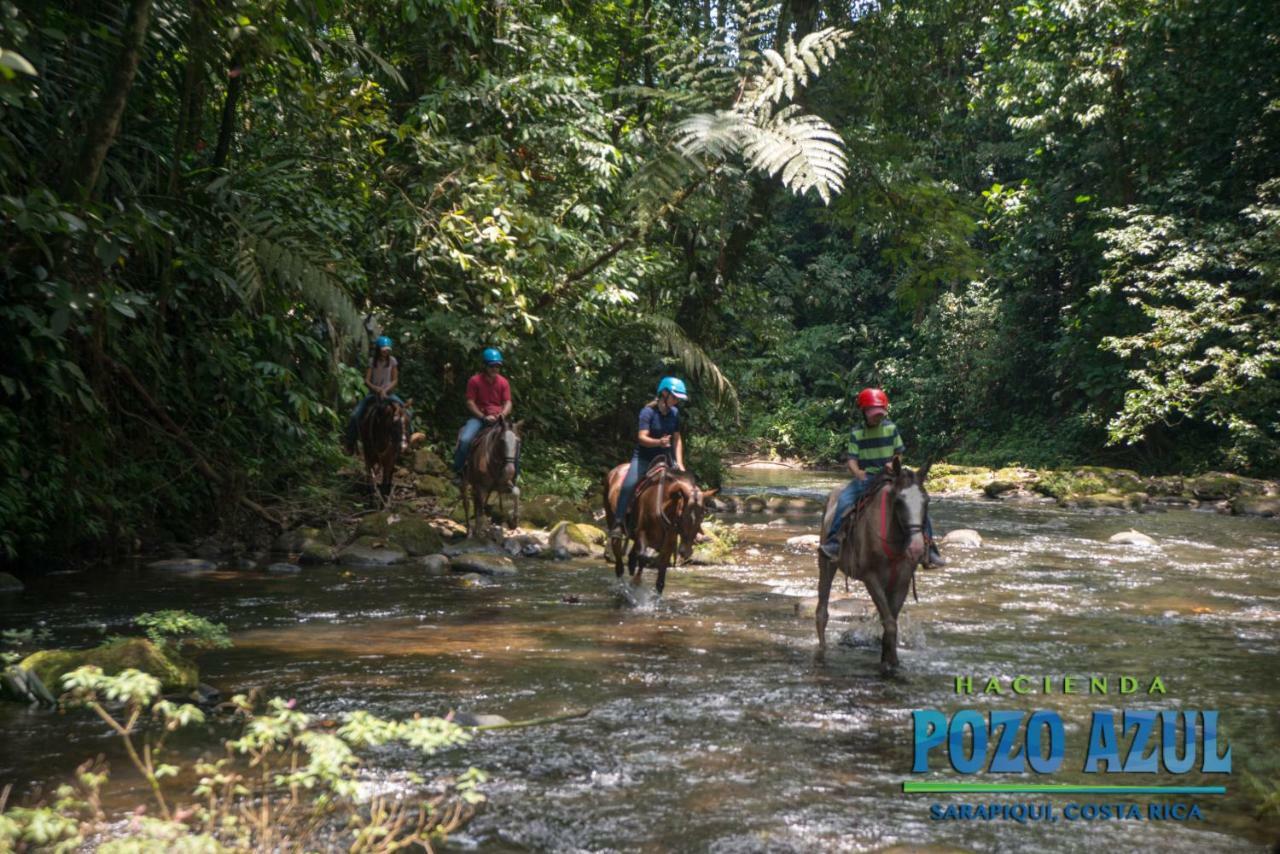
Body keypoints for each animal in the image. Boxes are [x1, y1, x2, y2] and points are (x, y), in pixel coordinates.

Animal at [604, 460, 716, 594]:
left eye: (703, 515)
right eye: (683, 515)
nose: (686, 551)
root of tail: (614, 471)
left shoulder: (669, 541)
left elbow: (661, 571)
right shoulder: (642, 532)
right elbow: (643, 557)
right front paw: (636, 582)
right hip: (613, 521)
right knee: (618, 558)